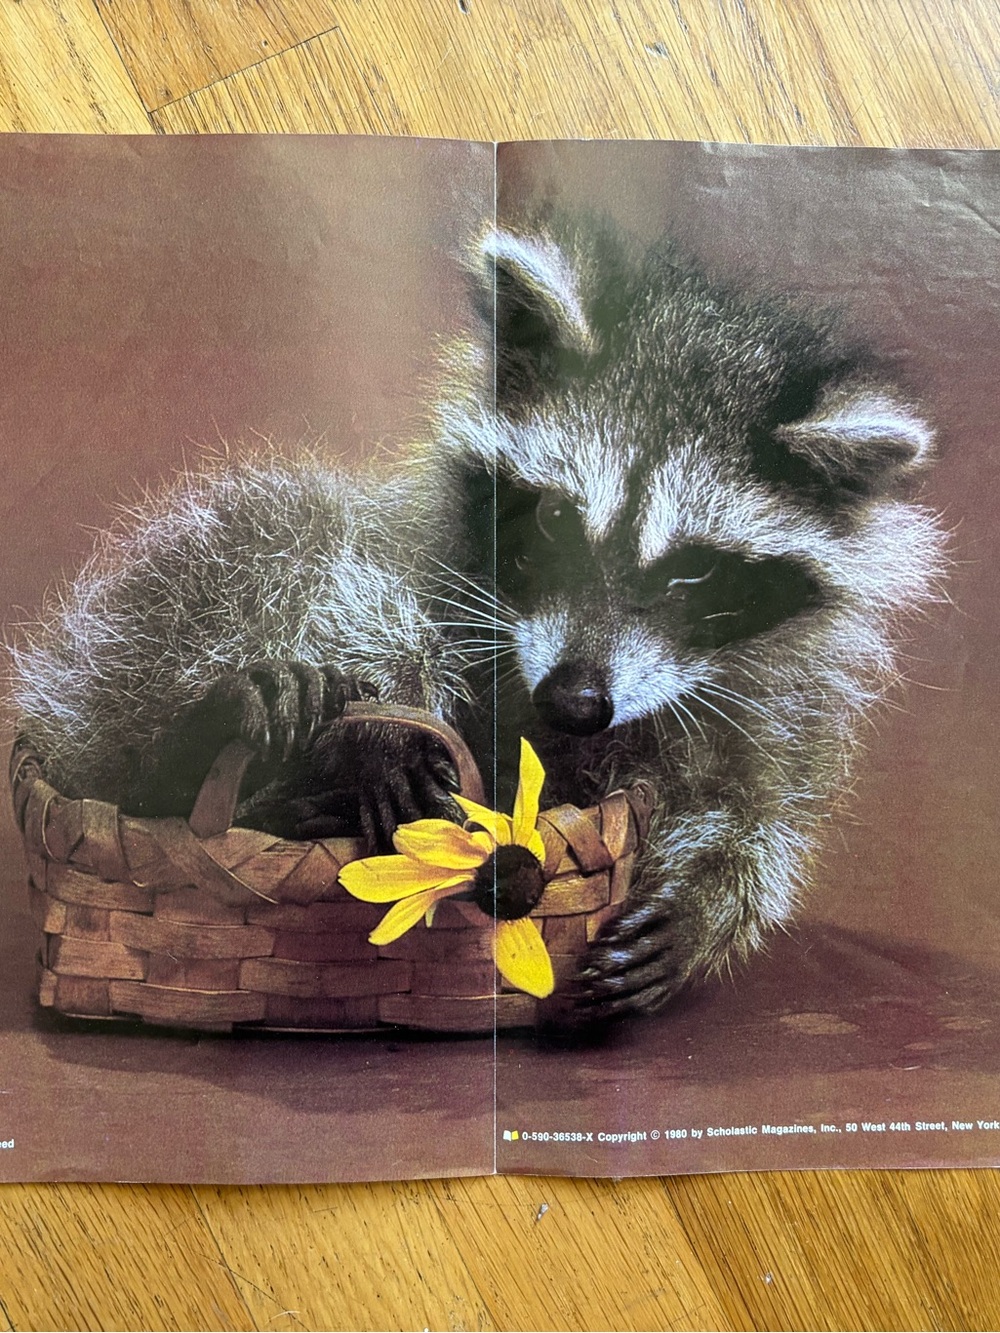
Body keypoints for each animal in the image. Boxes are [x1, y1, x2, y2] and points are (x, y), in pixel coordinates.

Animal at [8, 218, 946, 1020]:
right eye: (559, 518)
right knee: (274, 534)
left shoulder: (769, 693)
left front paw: (713, 893)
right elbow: (362, 585)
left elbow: (758, 802)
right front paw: (384, 714)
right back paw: (206, 737)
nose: (575, 699)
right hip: (146, 627)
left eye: (693, 567)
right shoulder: (427, 549)